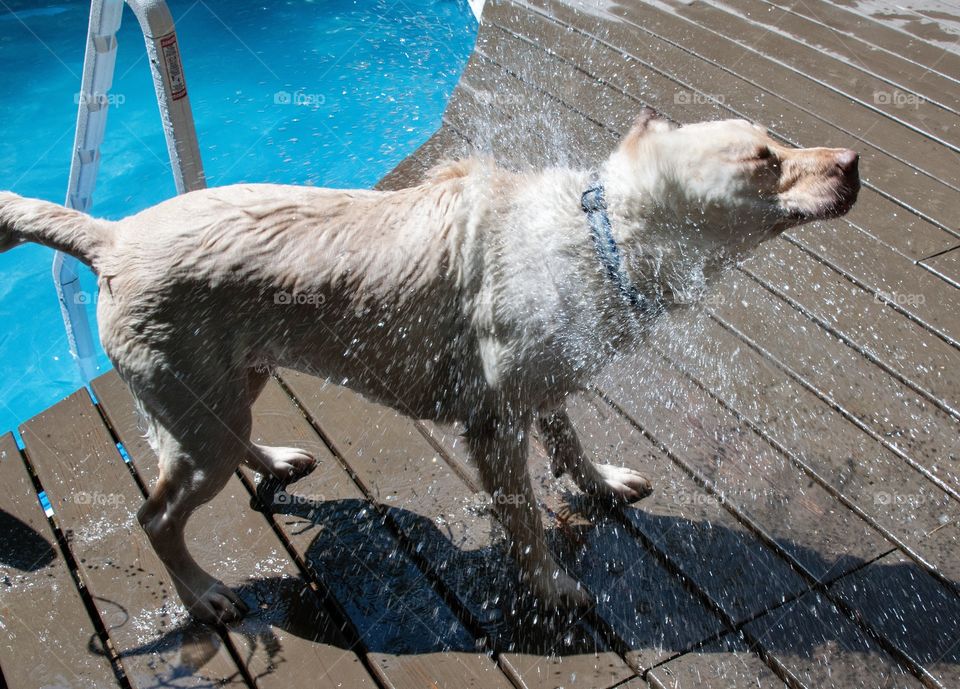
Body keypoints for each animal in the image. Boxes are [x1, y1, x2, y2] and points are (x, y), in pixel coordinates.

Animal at [0, 109, 856, 624]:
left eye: (778, 139)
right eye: (765, 159)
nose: (854, 159)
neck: (604, 236)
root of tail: (111, 235)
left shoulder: (545, 384)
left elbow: (571, 443)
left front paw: (602, 482)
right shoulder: (496, 423)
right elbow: (525, 521)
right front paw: (551, 587)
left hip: (227, 390)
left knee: (222, 448)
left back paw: (275, 459)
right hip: (199, 415)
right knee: (155, 516)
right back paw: (205, 593)